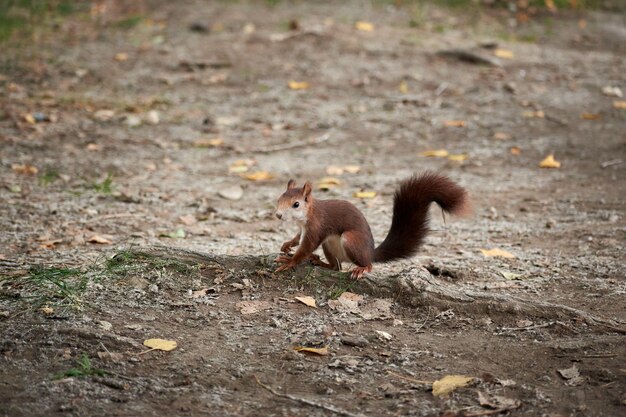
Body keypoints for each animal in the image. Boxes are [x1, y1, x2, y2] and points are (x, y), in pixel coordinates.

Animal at [272, 171, 468, 278]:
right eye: (279, 199)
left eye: (296, 204)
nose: (278, 215)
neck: (306, 216)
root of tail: (370, 252)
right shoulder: (303, 228)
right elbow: (298, 238)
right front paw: (287, 245)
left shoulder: (317, 226)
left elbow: (307, 246)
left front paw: (290, 260)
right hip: (330, 245)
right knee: (337, 267)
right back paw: (320, 262)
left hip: (351, 240)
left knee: (365, 264)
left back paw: (362, 268)